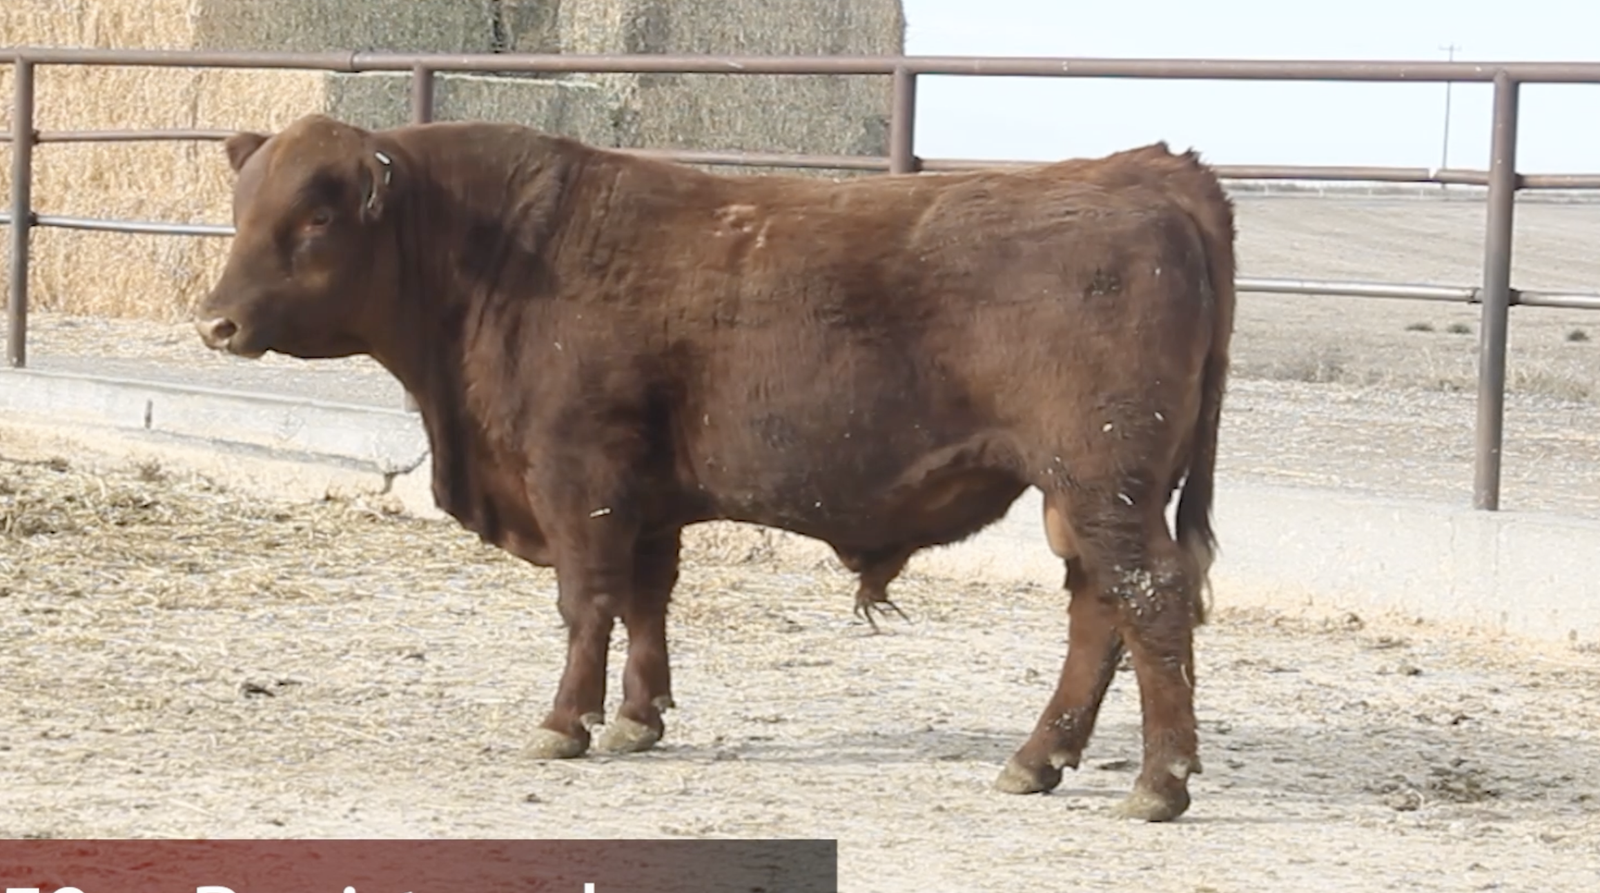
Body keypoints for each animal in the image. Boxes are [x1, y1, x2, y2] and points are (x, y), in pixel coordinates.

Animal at [193, 113, 1236, 822]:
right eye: (242, 210)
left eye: (317, 216)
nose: (215, 321)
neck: (502, 254)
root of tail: (1149, 171)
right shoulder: (645, 499)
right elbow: (647, 600)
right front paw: (637, 717)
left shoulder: (577, 477)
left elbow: (587, 602)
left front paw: (564, 723)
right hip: (1081, 494)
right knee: (1098, 610)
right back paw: (1037, 758)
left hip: (1102, 481)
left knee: (1148, 600)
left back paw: (1158, 781)